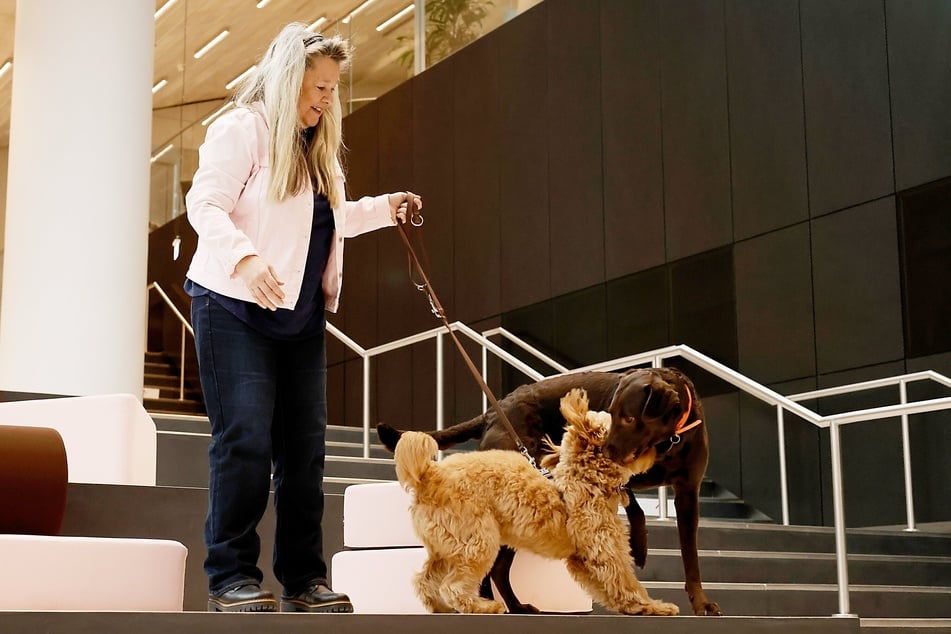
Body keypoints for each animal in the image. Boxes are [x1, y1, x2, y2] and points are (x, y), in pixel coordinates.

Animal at [394, 386, 676, 612]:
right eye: (621, 421)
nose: (662, 443)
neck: (585, 477)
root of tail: (430, 474)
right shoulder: (604, 548)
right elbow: (625, 581)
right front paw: (653, 607)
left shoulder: (582, 558)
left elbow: (608, 585)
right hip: (476, 541)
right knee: (453, 586)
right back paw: (482, 607)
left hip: (447, 545)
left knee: (425, 580)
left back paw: (440, 607)